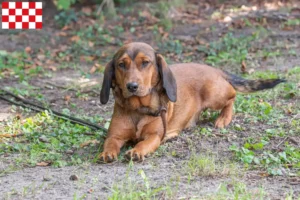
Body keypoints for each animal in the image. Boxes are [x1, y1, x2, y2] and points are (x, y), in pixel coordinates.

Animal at [98, 42, 284, 162]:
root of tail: (216, 70)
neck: (138, 108)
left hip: (214, 95)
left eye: (145, 63)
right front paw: (107, 153)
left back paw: (223, 118)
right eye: (121, 64)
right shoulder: (114, 135)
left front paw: (137, 150)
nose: (132, 86)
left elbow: (144, 143)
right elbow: (110, 143)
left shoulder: (154, 136)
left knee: (232, 96)